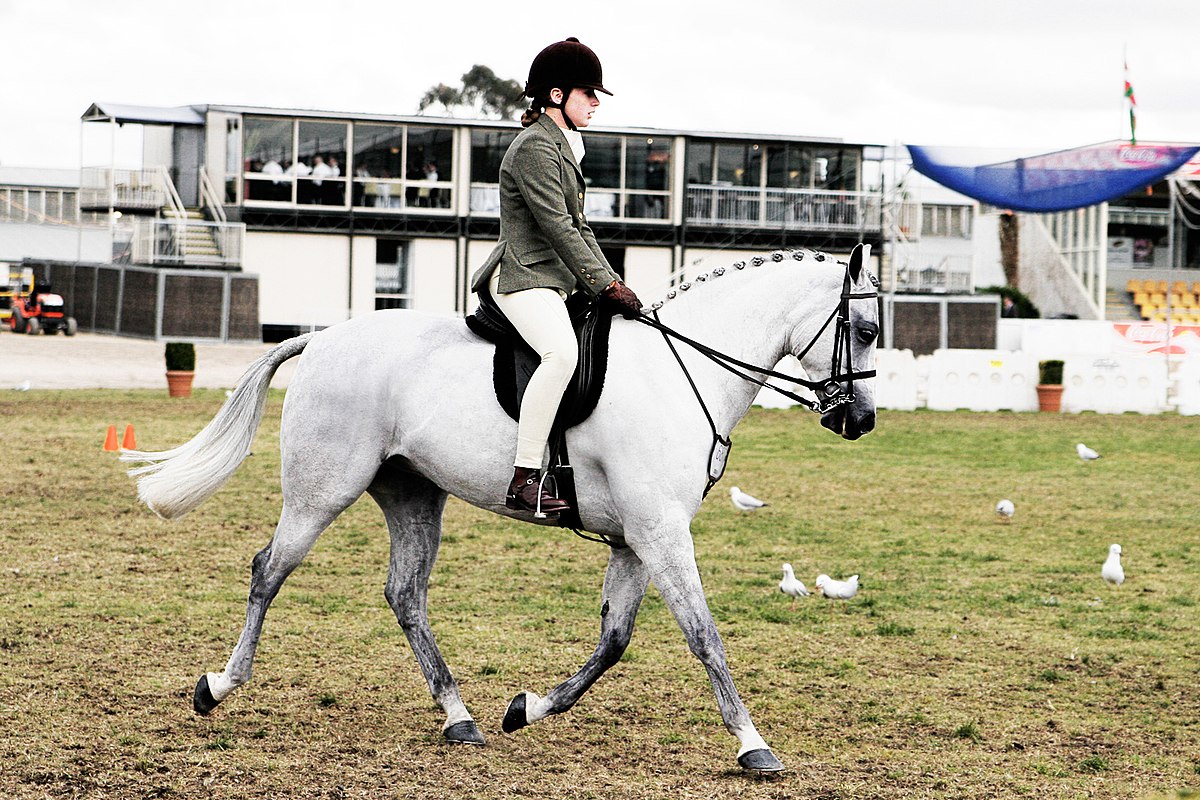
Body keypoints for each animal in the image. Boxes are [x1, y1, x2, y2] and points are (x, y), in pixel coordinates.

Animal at [124, 245, 883, 777]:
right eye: (869, 328)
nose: (862, 421)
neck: (682, 370)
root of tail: (323, 337)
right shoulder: (662, 533)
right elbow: (705, 638)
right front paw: (754, 746)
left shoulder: (636, 540)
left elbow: (614, 641)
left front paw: (528, 708)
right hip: (321, 492)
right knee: (268, 571)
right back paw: (218, 686)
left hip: (413, 495)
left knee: (405, 594)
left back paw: (459, 717)